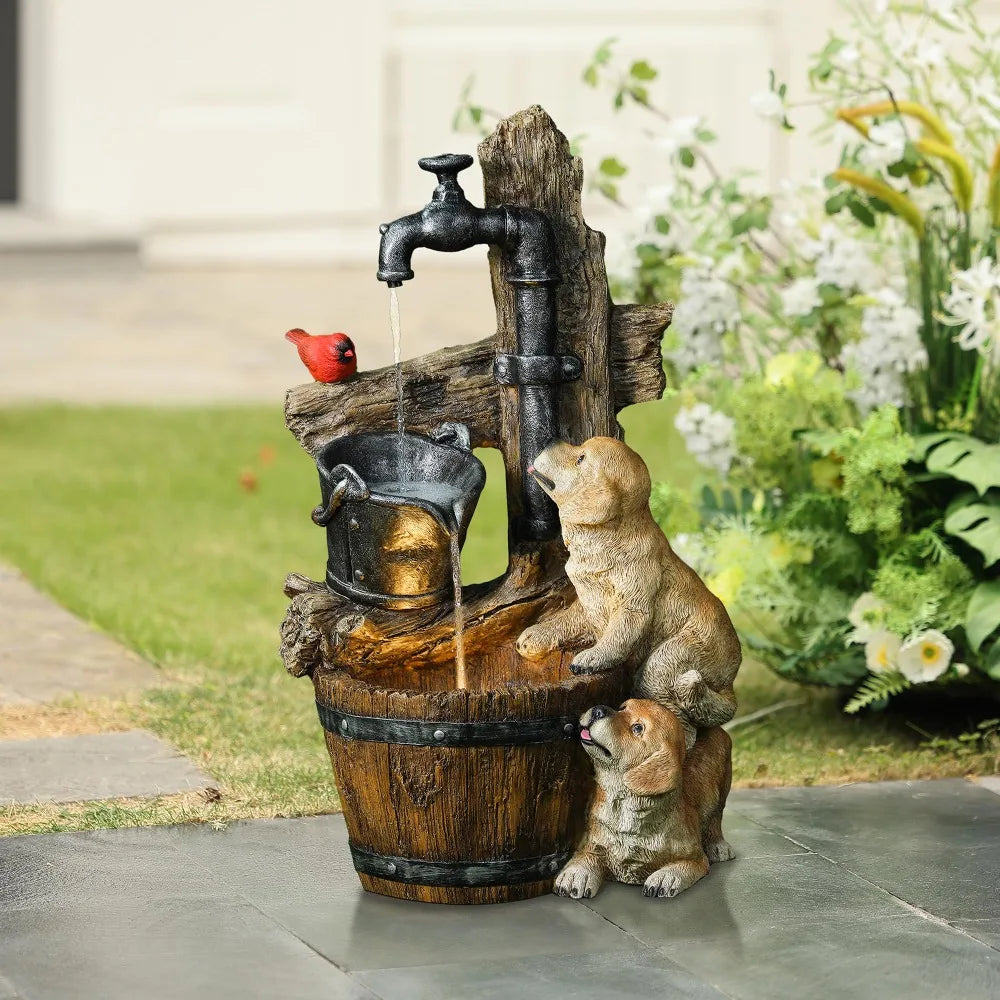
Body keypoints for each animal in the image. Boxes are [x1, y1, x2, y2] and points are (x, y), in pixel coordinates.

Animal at [516, 438, 744, 744]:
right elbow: (567, 619)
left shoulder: (633, 600)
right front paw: (535, 636)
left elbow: (621, 632)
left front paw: (591, 658)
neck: (604, 536)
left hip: (674, 657)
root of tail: (729, 684)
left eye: (581, 458)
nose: (551, 440)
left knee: (686, 726)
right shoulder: (589, 601)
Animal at [552, 700, 732, 904]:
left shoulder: (695, 857)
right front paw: (574, 874)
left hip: (723, 790)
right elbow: (586, 856)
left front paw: (665, 878)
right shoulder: (591, 843)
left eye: (637, 728)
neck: (625, 805)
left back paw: (718, 847)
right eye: (622, 707)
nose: (599, 710)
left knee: (716, 819)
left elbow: (684, 865)